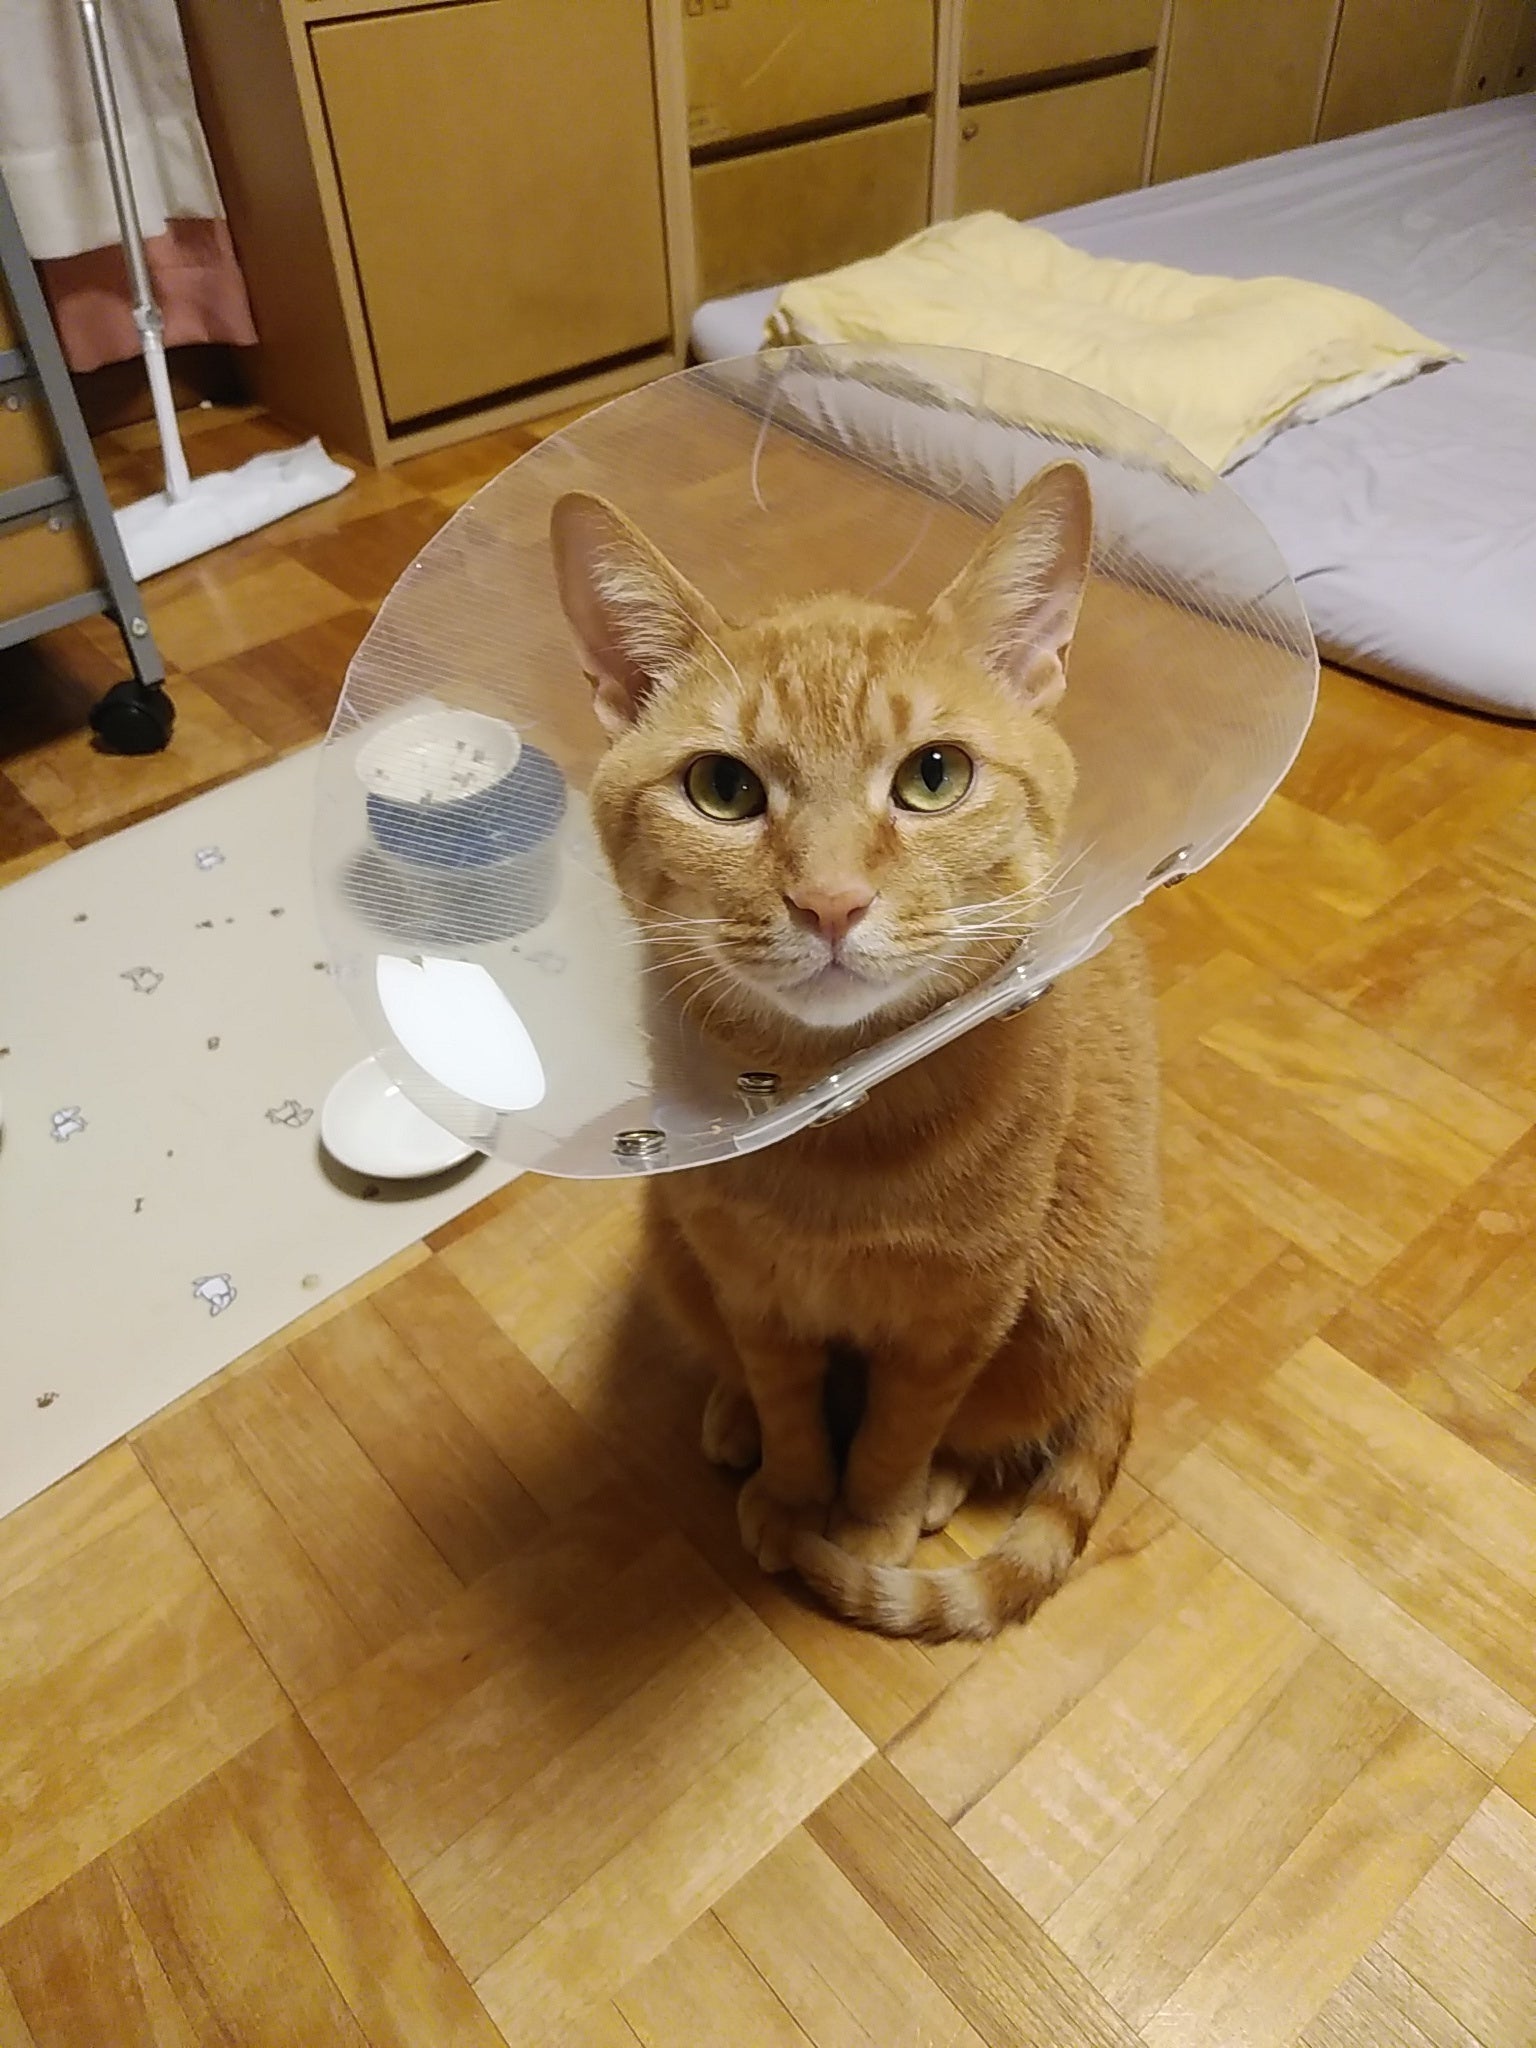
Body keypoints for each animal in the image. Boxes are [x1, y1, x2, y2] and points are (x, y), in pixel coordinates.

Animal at [550, 460, 1160, 1641]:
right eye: (724, 789)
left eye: (934, 776)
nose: (830, 902)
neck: (841, 1129)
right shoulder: (753, 1292)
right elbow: (791, 1406)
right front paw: (792, 1492)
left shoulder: (961, 1315)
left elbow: (900, 1427)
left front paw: (869, 1518)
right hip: (672, 1245)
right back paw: (731, 1417)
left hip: (1072, 1298)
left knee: (995, 1424)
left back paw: (936, 1487)